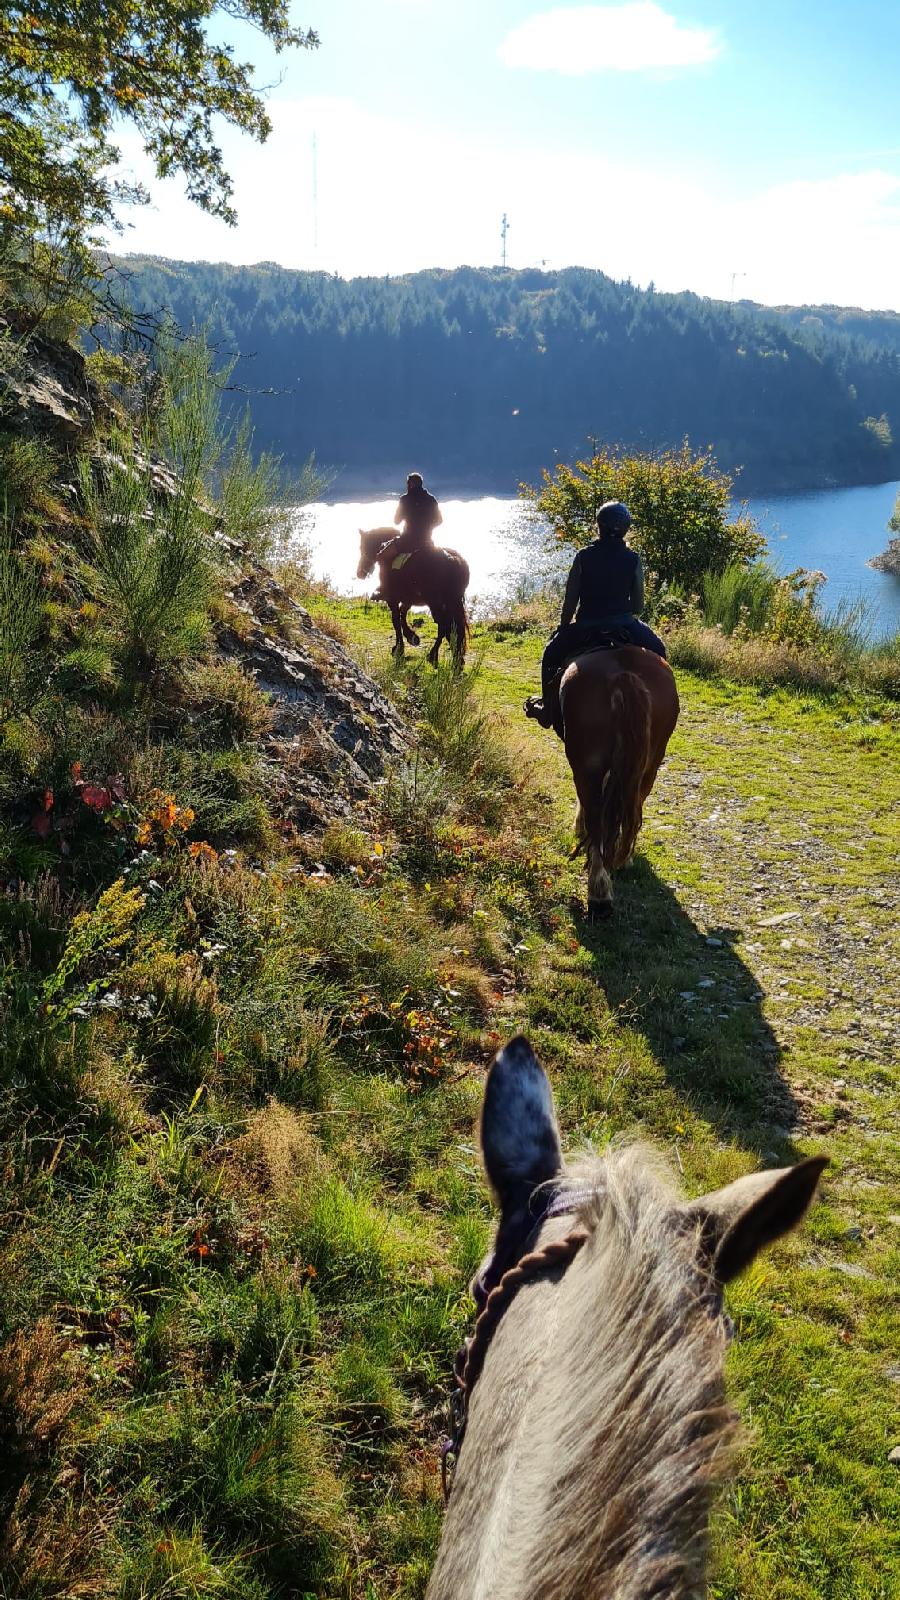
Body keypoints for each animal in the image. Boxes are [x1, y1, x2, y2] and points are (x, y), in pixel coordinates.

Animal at [355, 528, 470, 665]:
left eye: (362, 547)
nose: (360, 573)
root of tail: (453, 560)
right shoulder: (407, 599)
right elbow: (402, 615)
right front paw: (411, 637)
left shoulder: (392, 599)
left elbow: (396, 620)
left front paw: (399, 648)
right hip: (450, 602)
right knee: (451, 627)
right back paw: (456, 658)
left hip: (435, 603)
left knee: (443, 626)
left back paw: (433, 655)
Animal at [557, 643, 675, 921]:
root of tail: (624, 676)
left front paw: (579, 829)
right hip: (649, 765)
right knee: (633, 808)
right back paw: (623, 856)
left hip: (586, 765)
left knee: (596, 815)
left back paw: (599, 892)